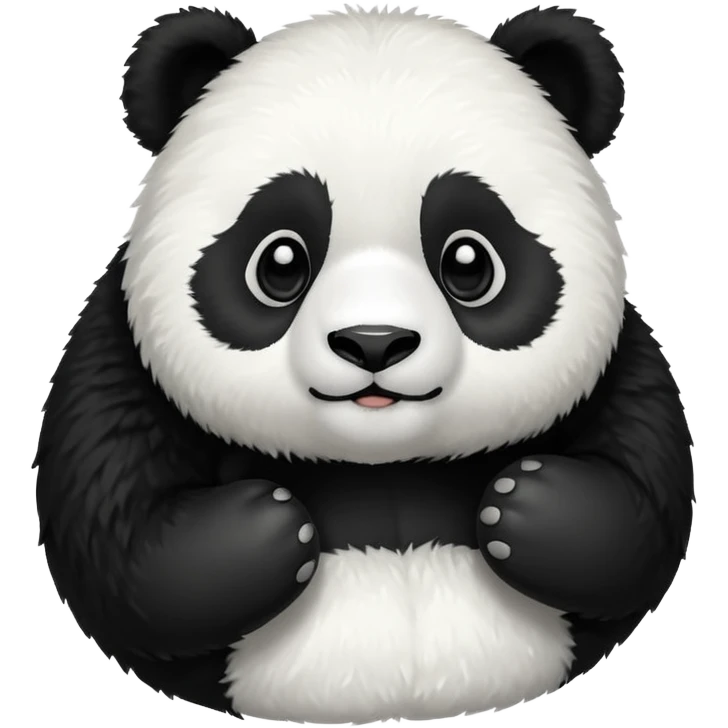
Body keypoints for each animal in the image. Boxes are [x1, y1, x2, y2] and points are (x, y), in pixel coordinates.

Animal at [35, 5, 694, 724]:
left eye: (470, 263)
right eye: (280, 263)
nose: (374, 343)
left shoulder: (622, 359)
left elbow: (645, 494)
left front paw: (525, 504)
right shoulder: (118, 350)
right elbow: (113, 527)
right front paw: (269, 522)